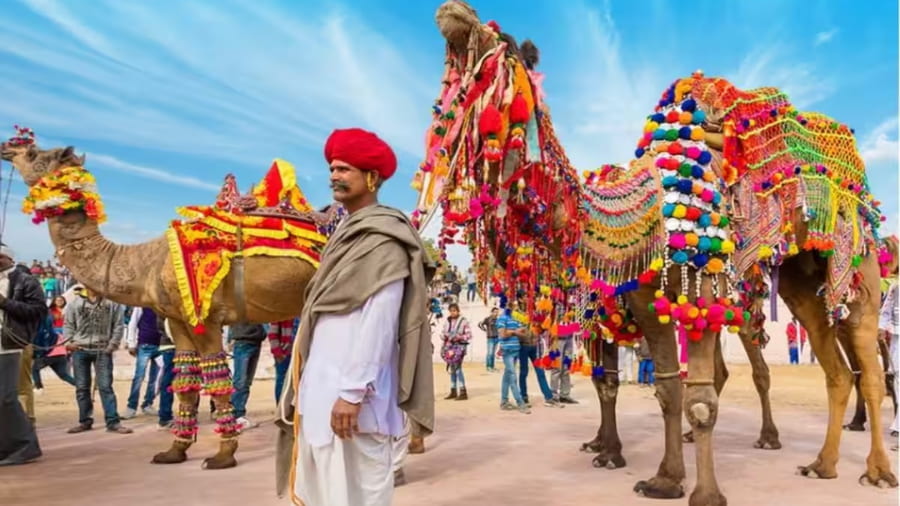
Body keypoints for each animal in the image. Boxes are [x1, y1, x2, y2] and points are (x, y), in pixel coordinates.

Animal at [0, 137, 330, 470]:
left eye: (35, 154)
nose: (7, 148)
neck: (146, 263)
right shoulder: (178, 319)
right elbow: (185, 383)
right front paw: (175, 451)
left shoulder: (207, 319)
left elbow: (218, 383)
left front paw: (223, 455)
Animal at [416, 2, 897, 503]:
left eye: (501, 44)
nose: (453, 13)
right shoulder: (643, 304)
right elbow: (663, 390)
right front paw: (662, 477)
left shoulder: (697, 290)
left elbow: (698, 399)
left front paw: (702, 492)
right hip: (800, 281)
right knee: (836, 369)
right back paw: (822, 465)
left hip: (850, 266)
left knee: (862, 368)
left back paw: (868, 468)